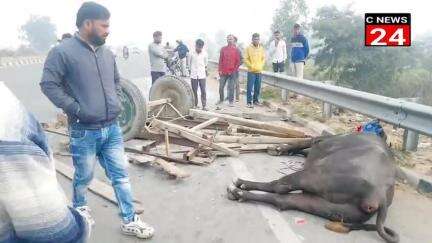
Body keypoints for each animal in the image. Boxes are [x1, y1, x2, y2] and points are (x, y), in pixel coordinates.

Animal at [228, 134, 400, 242]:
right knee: (283, 200)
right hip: (327, 206)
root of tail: (381, 196)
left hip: (313, 176)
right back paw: (239, 193)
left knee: (279, 186)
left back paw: (240, 185)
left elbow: (307, 141)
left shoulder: (322, 139)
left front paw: (278, 148)